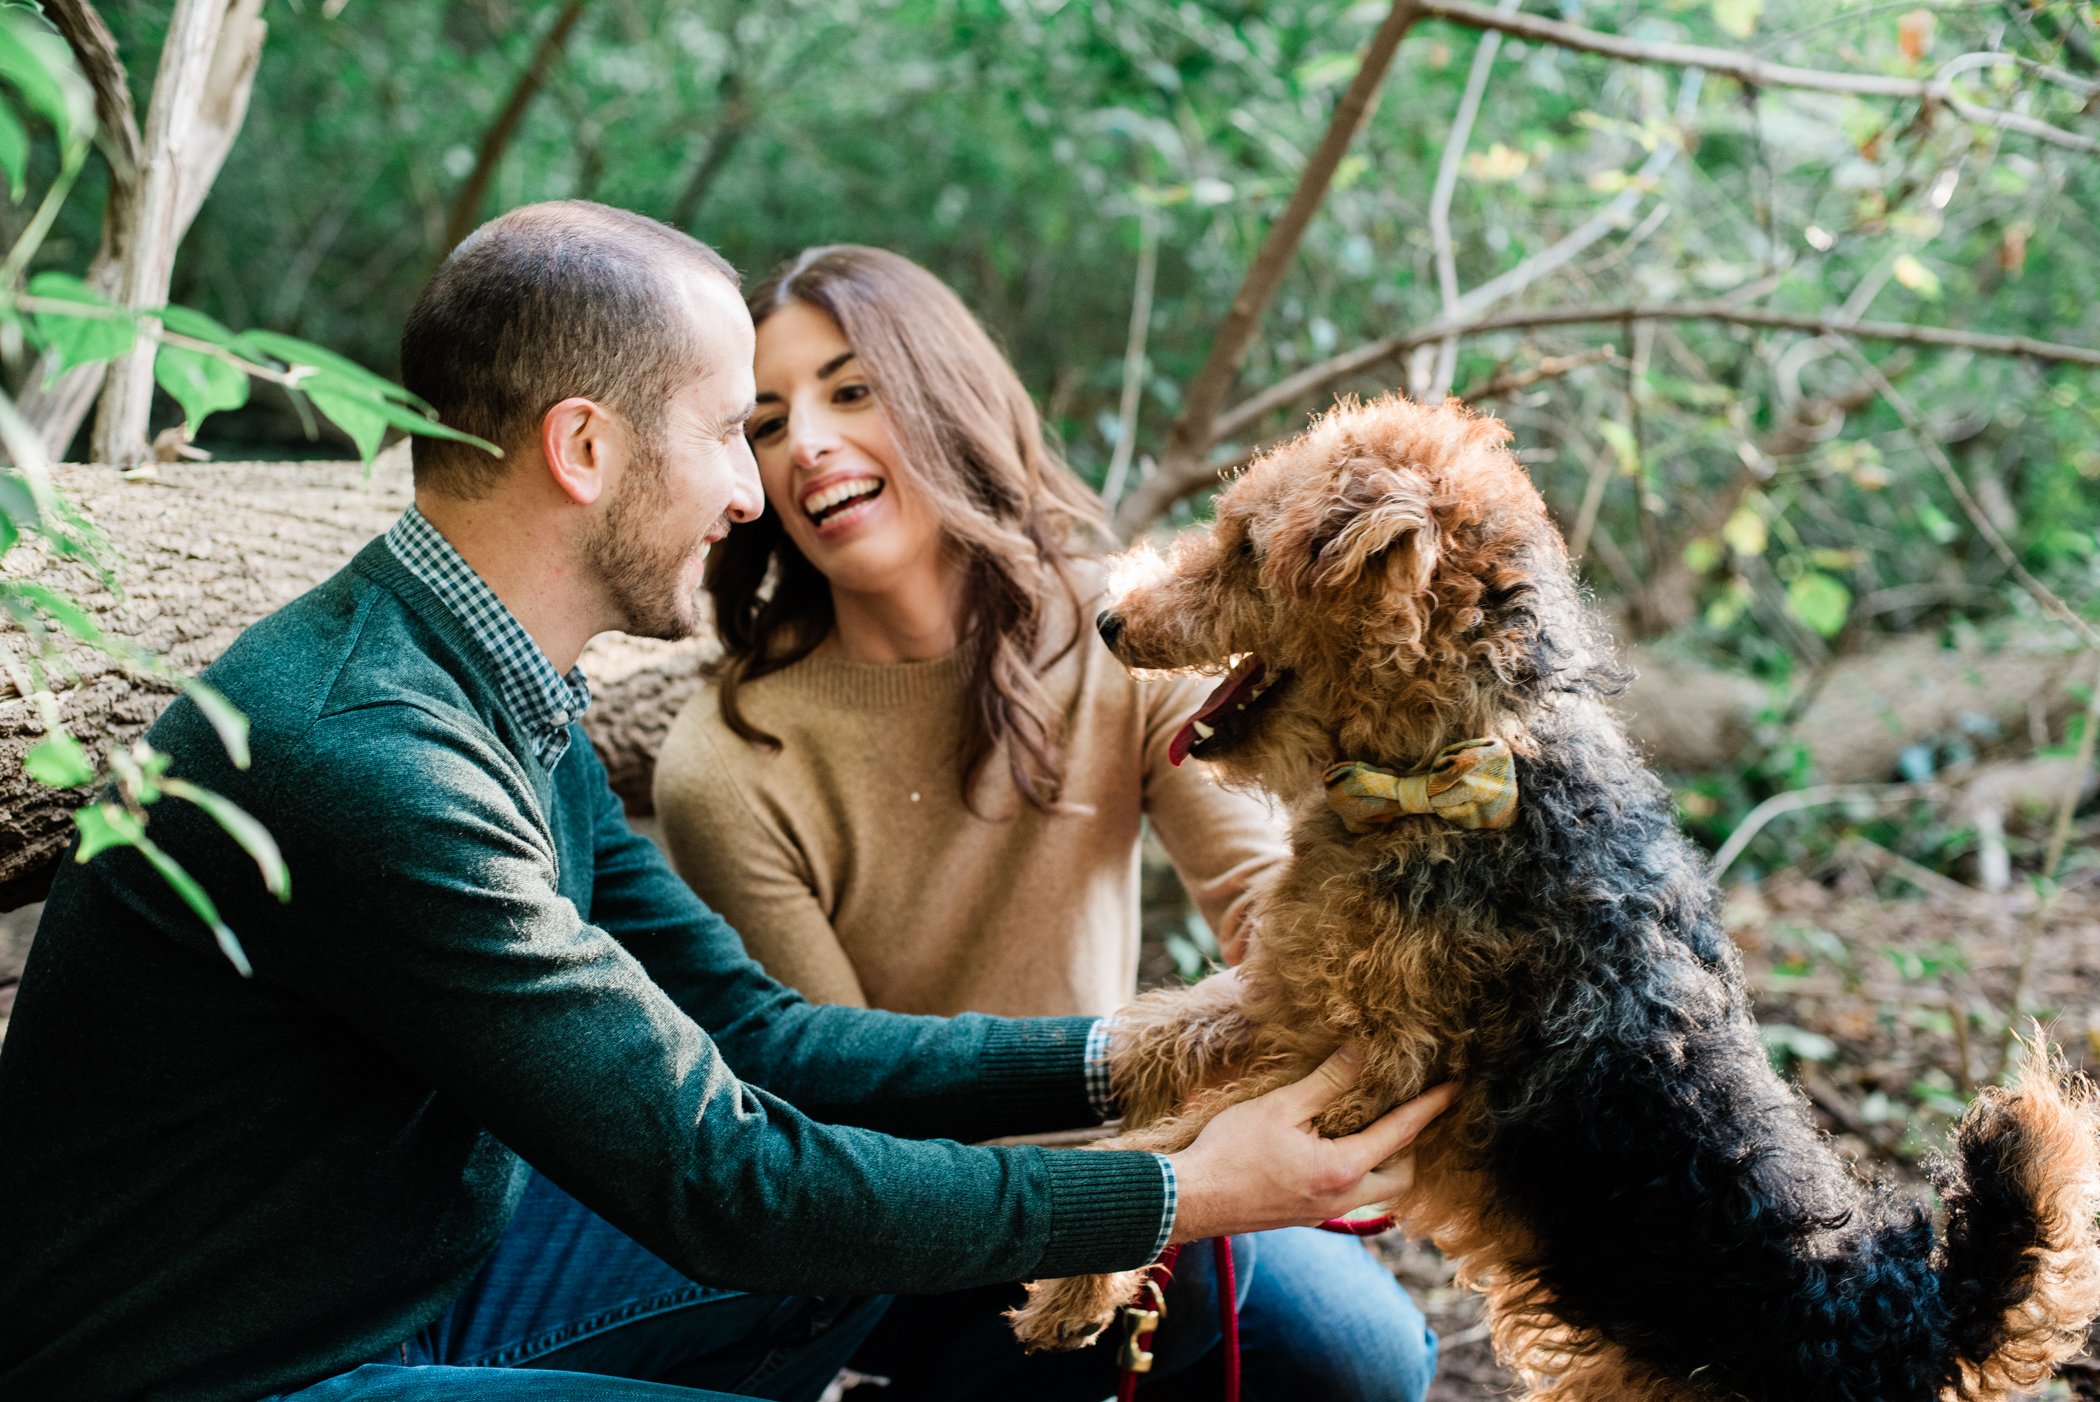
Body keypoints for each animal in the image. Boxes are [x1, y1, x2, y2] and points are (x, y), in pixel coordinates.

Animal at [1012, 394, 2100, 1402]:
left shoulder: (1370, 1064)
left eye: (1245, 546)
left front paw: (1073, 1284)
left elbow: (1183, 1140)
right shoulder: (1291, 999)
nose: (1110, 621)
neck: (1429, 778)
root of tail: (1899, 1318)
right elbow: (1153, 1041)